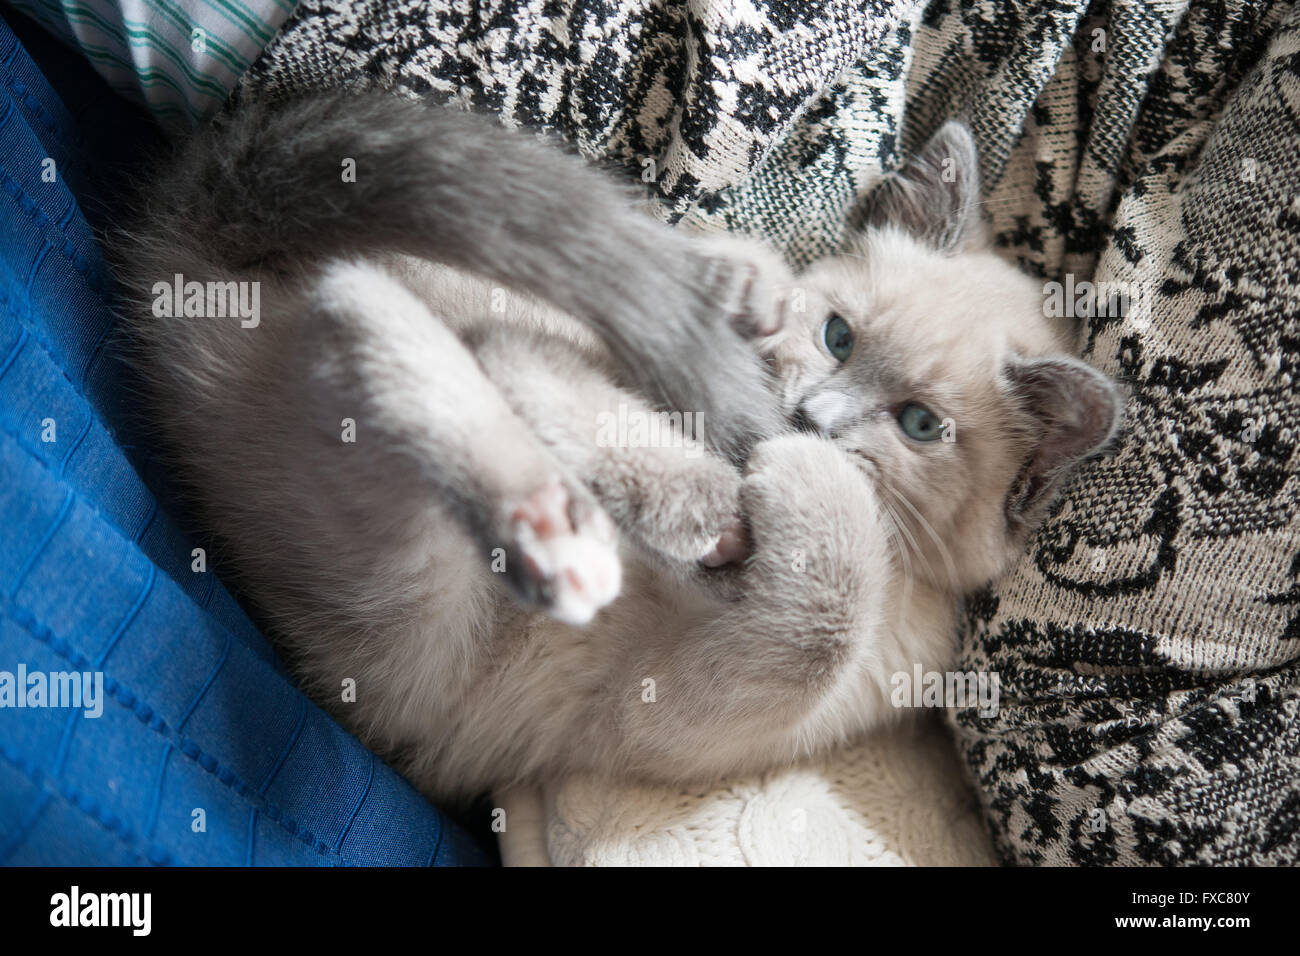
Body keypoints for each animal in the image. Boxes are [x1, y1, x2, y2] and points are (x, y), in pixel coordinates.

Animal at [116, 98, 1123, 801]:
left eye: (919, 425)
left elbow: (827, 615)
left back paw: (587, 523)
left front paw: (793, 478)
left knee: (380, 314)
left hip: (406, 594)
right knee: (443, 323)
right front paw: (750, 306)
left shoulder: (703, 699)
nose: (813, 417)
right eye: (838, 336)